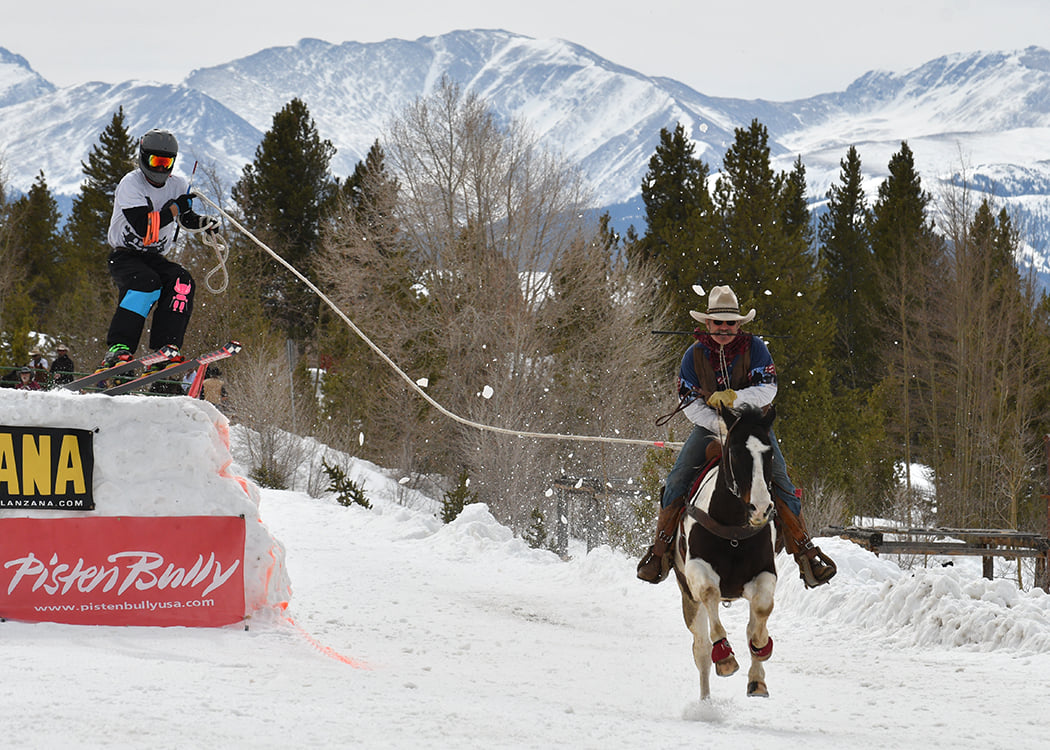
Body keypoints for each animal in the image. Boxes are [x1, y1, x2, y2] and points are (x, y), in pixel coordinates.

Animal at [672, 401, 781, 697]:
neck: (733, 528)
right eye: (735, 451)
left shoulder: (765, 572)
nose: (760, 508)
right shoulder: (697, 570)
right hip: (688, 599)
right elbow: (711, 593)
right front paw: (725, 657)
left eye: (769, 452)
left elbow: (761, 612)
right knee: (700, 651)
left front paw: (760, 654)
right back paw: (706, 701)